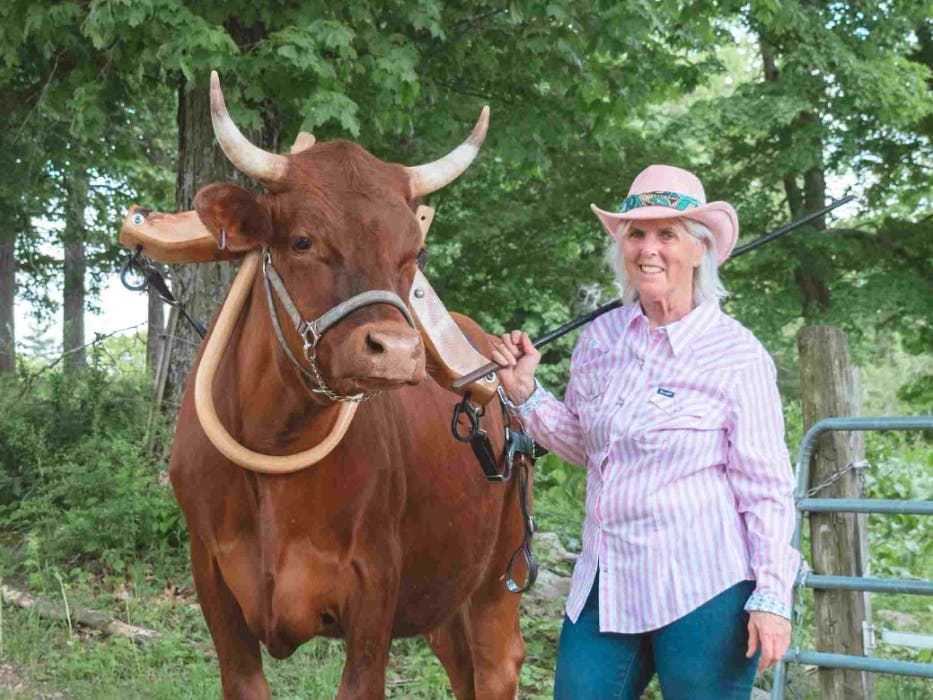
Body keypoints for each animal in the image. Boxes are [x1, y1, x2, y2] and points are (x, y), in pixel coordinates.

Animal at [166, 73, 528, 699]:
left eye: (415, 252)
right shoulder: (211, 577)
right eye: (303, 241)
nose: (398, 351)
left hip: (497, 575)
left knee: (497, 665)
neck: (274, 442)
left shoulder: (374, 585)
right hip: (443, 594)